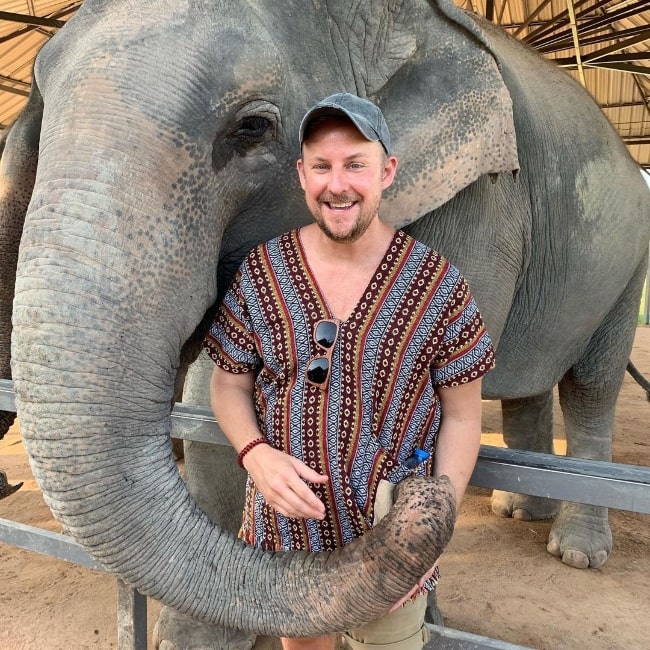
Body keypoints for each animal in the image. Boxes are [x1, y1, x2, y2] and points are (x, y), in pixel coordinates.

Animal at [1, 0, 648, 644]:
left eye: (251, 128)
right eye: (40, 105)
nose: (408, 492)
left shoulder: (482, 202)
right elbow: (216, 392)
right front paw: (192, 640)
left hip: (630, 266)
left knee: (592, 386)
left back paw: (576, 551)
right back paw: (516, 510)